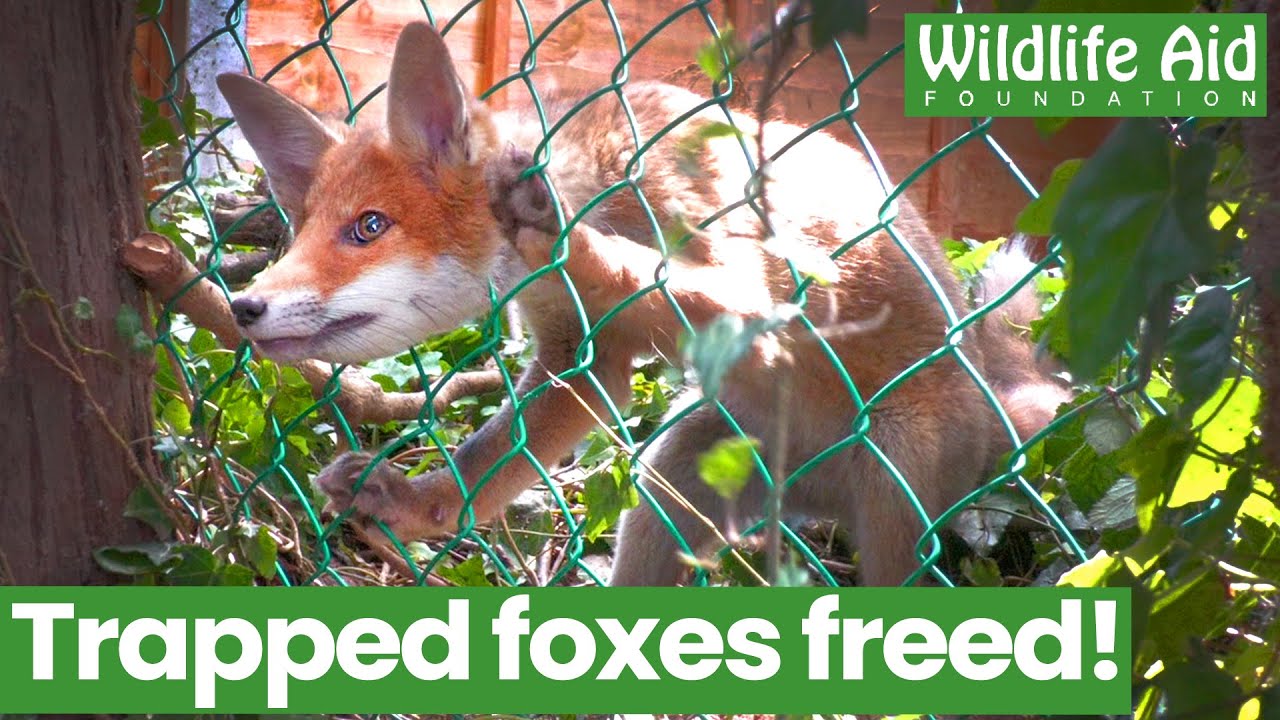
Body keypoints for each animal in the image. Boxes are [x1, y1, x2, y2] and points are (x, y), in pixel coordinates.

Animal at [217, 21, 1069, 586]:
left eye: (368, 228)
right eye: (301, 232)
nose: (243, 306)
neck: (600, 176)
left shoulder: (756, 287)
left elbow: (644, 268)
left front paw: (560, 228)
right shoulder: (581, 360)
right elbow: (475, 475)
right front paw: (410, 503)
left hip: (895, 502)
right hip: (678, 473)